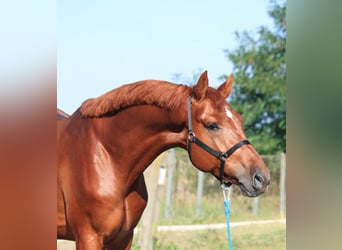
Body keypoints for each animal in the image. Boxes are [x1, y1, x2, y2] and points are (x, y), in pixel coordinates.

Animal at [56, 71, 270, 249]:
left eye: (240, 120)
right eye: (212, 125)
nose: (261, 177)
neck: (107, 155)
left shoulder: (124, 238)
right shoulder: (89, 237)